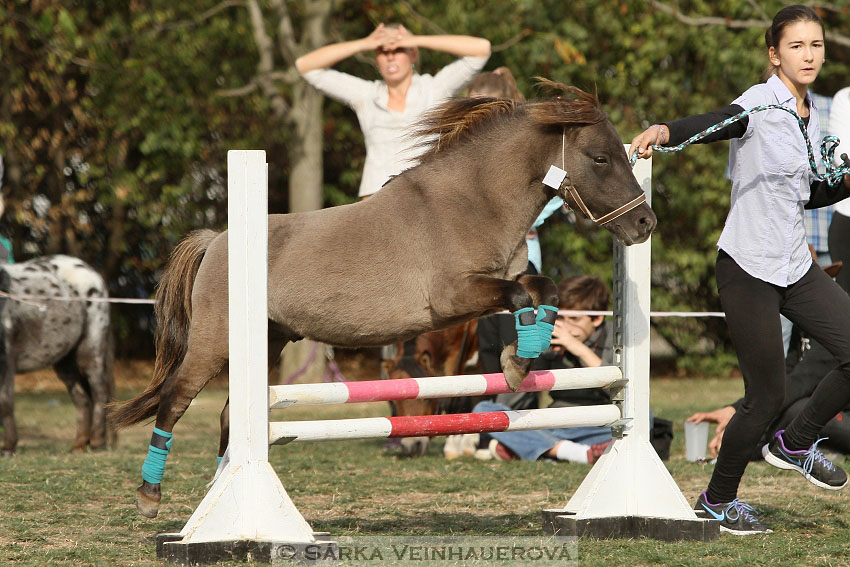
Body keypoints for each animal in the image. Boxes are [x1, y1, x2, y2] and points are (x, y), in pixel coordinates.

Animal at [0, 255, 114, 454]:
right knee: (82, 399)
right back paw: (79, 444)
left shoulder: (5, 359)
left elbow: (5, 402)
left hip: (90, 349)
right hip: (65, 361)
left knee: (99, 391)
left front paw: (8, 447)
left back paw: (98, 442)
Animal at [109, 80, 652, 520]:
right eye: (600, 158)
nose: (645, 224)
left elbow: (545, 290)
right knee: (175, 401)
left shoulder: (500, 283)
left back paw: (218, 491)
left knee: (229, 417)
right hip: (212, 343)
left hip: (268, 343)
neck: (474, 202)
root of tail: (216, 240)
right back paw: (149, 497)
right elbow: (519, 295)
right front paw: (517, 364)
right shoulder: (454, 297)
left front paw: (522, 358)